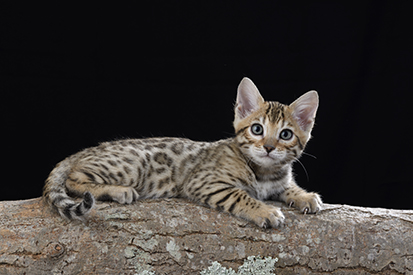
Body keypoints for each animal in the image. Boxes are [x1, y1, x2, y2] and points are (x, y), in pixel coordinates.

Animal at [44, 77, 322, 229]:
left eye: (285, 134)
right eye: (257, 129)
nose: (268, 147)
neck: (264, 172)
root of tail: (88, 149)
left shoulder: (279, 179)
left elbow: (289, 186)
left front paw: (305, 196)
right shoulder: (206, 182)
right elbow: (242, 196)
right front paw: (265, 211)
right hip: (131, 165)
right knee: (74, 179)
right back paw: (118, 191)